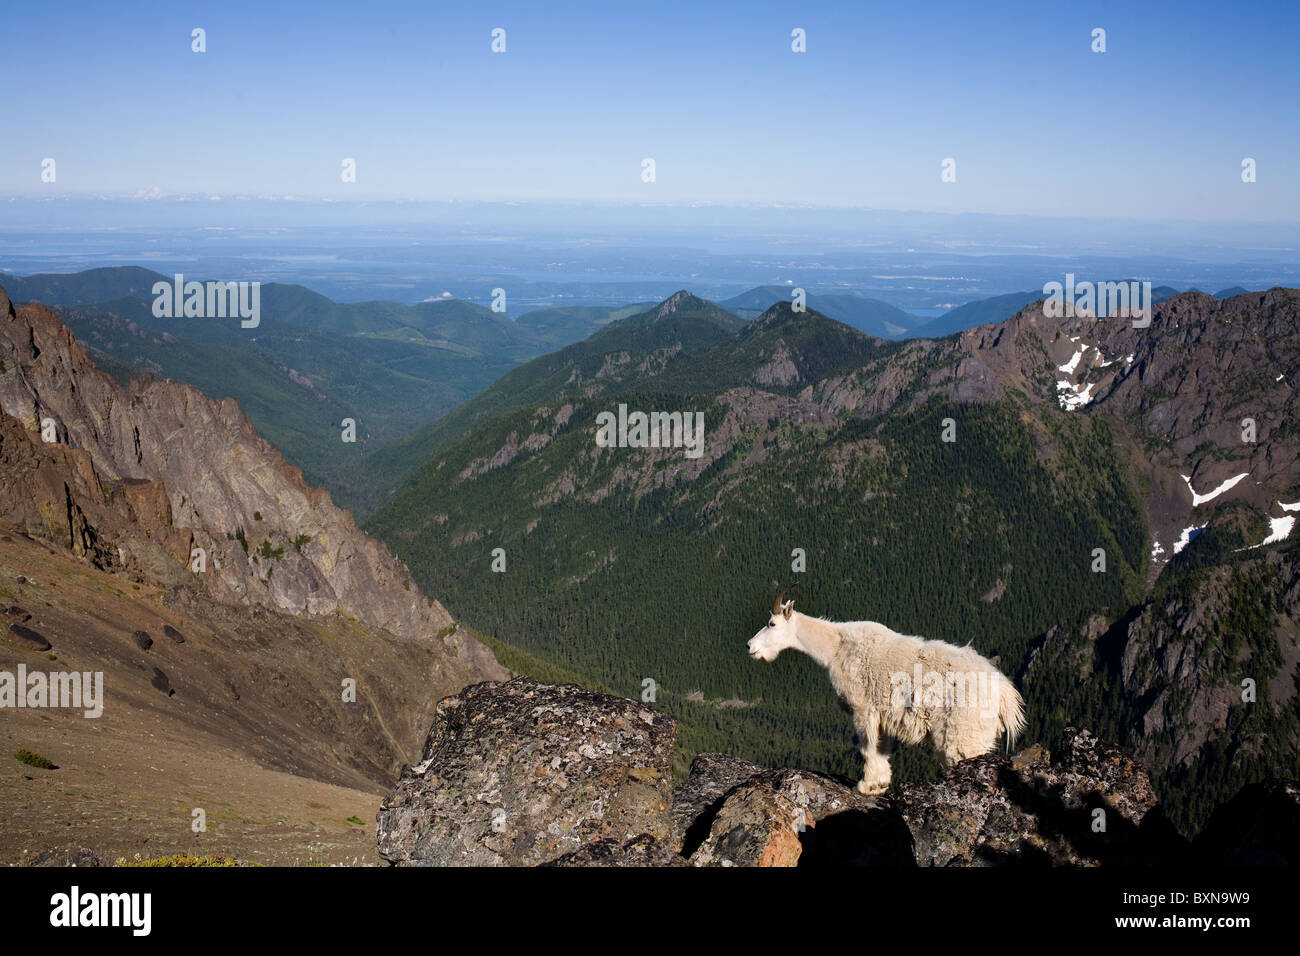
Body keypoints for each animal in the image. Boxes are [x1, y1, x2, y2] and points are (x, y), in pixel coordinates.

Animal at [754, 595, 1024, 796]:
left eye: (772, 624)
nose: (750, 646)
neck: (836, 647)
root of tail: (1005, 695)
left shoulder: (863, 708)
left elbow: (866, 747)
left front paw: (866, 786)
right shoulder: (883, 715)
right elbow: (881, 747)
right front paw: (881, 784)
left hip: (964, 732)